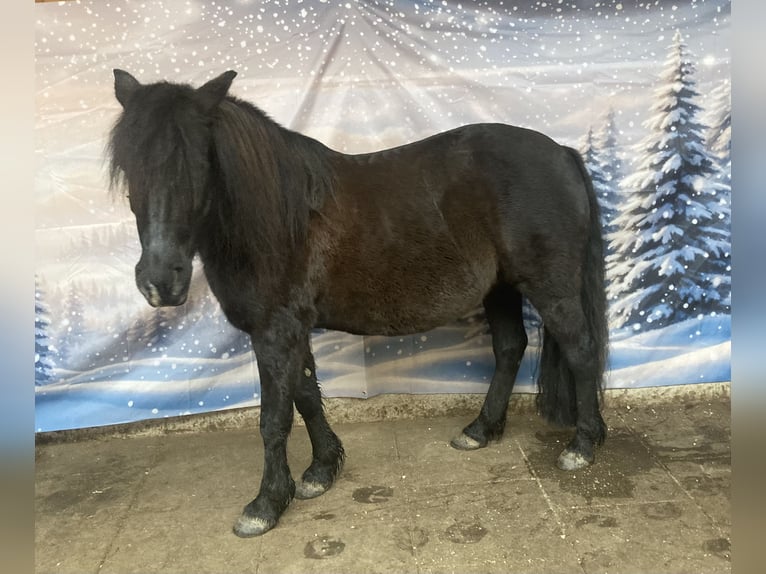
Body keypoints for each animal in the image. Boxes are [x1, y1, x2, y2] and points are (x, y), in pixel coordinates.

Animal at [108, 69, 608, 538]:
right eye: (129, 166)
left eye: (198, 163)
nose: (160, 281)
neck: (278, 218)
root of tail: (562, 153)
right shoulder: (293, 329)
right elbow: (307, 395)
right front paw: (321, 471)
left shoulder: (275, 330)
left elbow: (274, 418)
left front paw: (266, 504)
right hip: (500, 288)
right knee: (509, 348)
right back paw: (480, 431)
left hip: (551, 289)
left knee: (581, 351)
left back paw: (581, 447)